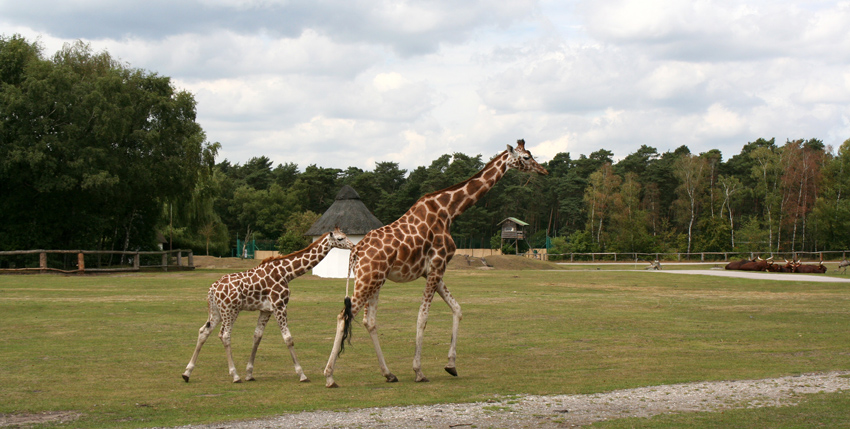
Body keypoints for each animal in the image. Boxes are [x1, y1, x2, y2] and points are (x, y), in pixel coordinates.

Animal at [182, 226, 354, 382]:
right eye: (340, 238)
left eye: (346, 235)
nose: (353, 246)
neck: (287, 273)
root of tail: (212, 289)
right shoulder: (279, 306)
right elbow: (288, 339)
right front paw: (302, 375)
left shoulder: (266, 310)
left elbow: (257, 336)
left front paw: (249, 374)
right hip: (230, 310)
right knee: (225, 335)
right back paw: (235, 375)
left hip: (216, 311)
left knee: (204, 331)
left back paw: (187, 373)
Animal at [322, 139, 548, 386]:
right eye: (526, 157)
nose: (543, 171)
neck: (448, 211)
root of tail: (356, 251)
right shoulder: (438, 265)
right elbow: (423, 318)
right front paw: (419, 371)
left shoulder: (432, 270)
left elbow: (457, 309)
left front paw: (451, 365)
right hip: (368, 279)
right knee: (344, 315)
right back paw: (330, 376)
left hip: (375, 280)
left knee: (368, 321)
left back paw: (389, 374)